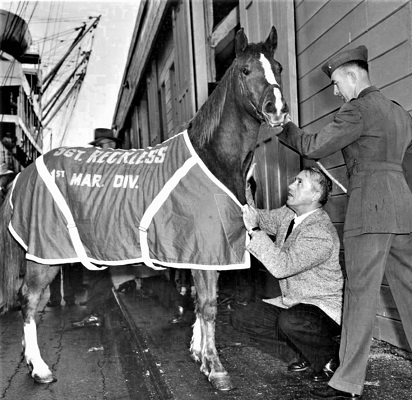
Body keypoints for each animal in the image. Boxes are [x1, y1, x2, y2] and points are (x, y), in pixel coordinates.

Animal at [0, 26, 288, 392]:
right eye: (245, 70)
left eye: (278, 67)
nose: (277, 109)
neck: (212, 158)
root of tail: (22, 173)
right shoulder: (206, 248)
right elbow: (209, 306)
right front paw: (216, 368)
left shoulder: (203, 253)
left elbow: (199, 302)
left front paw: (199, 354)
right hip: (44, 256)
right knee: (29, 301)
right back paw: (39, 368)